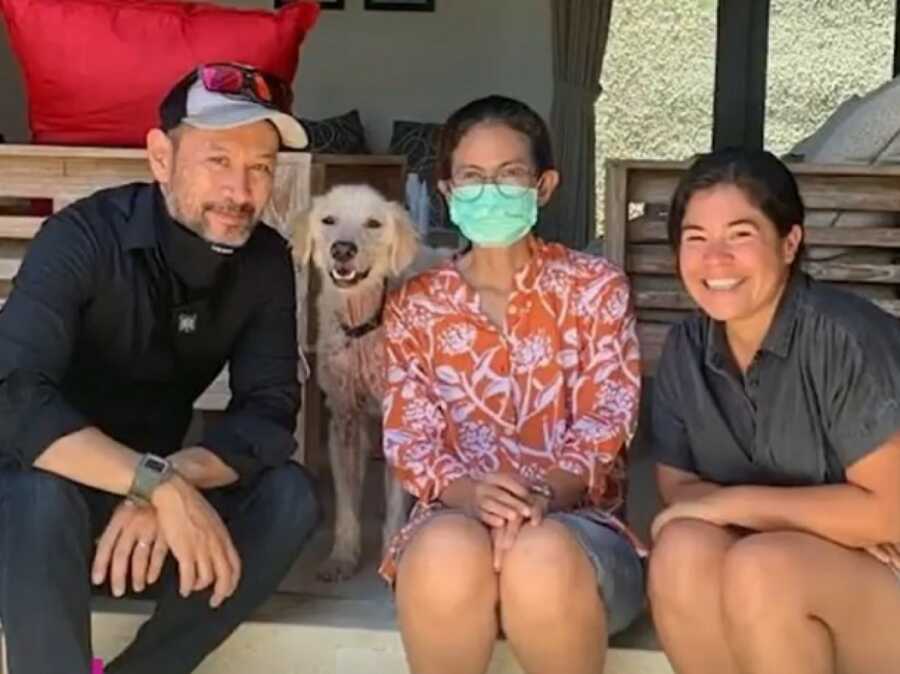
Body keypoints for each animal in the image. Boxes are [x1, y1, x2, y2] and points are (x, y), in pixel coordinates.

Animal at [296, 182, 450, 576]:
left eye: (373, 223)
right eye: (328, 220)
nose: (342, 250)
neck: (364, 322)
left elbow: (395, 501)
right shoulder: (344, 420)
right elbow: (346, 502)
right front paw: (342, 556)